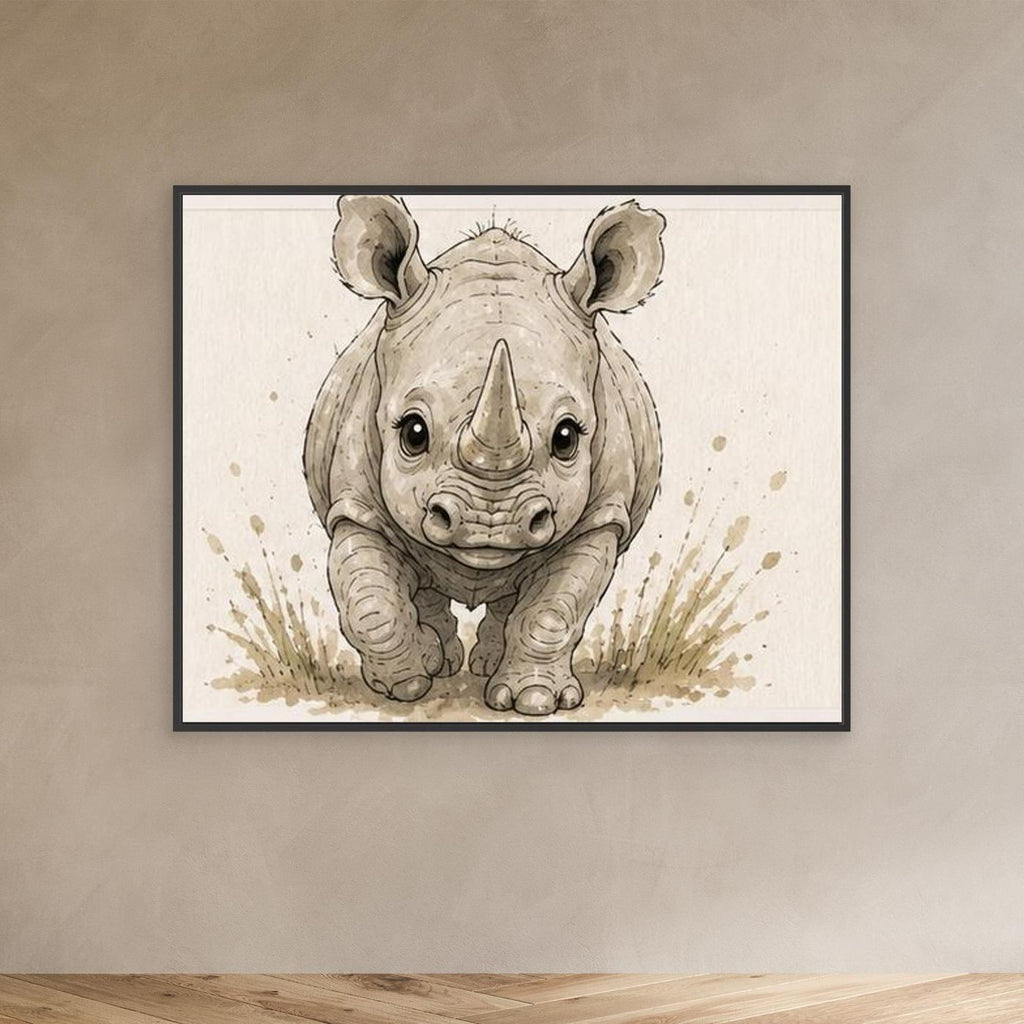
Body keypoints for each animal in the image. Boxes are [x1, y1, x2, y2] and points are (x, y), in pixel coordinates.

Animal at [304, 194, 664, 716]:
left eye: (567, 437)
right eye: (413, 432)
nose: (488, 525)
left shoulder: (602, 515)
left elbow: (553, 609)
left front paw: (534, 700)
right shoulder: (356, 503)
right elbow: (371, 603)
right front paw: (406, 685)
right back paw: (441, 660)